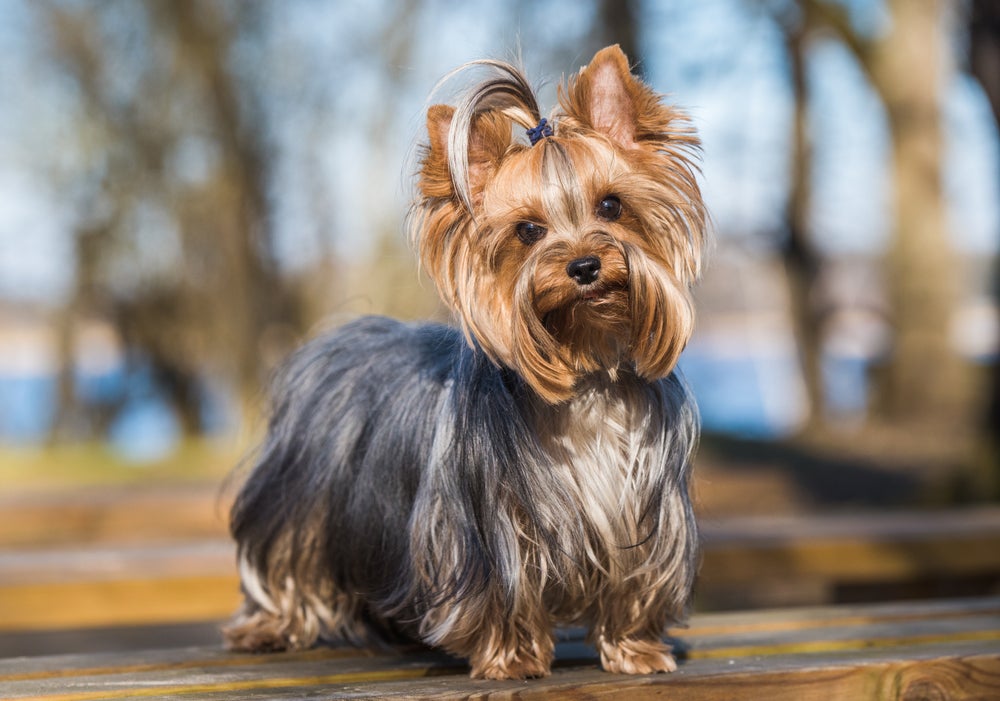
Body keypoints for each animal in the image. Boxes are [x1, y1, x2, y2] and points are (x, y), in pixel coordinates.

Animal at [223, 43, 708, 680]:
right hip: (301, 502)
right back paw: (269, 627)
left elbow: (635, 583)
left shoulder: (644, 518)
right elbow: (503, 594)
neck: (587, 375)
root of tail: (340, 337)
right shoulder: (489, 527)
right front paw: (513, 658)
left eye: (611, 205)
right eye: (527, 231)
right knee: (283, 558)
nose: (584, 266)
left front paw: (636, 650)